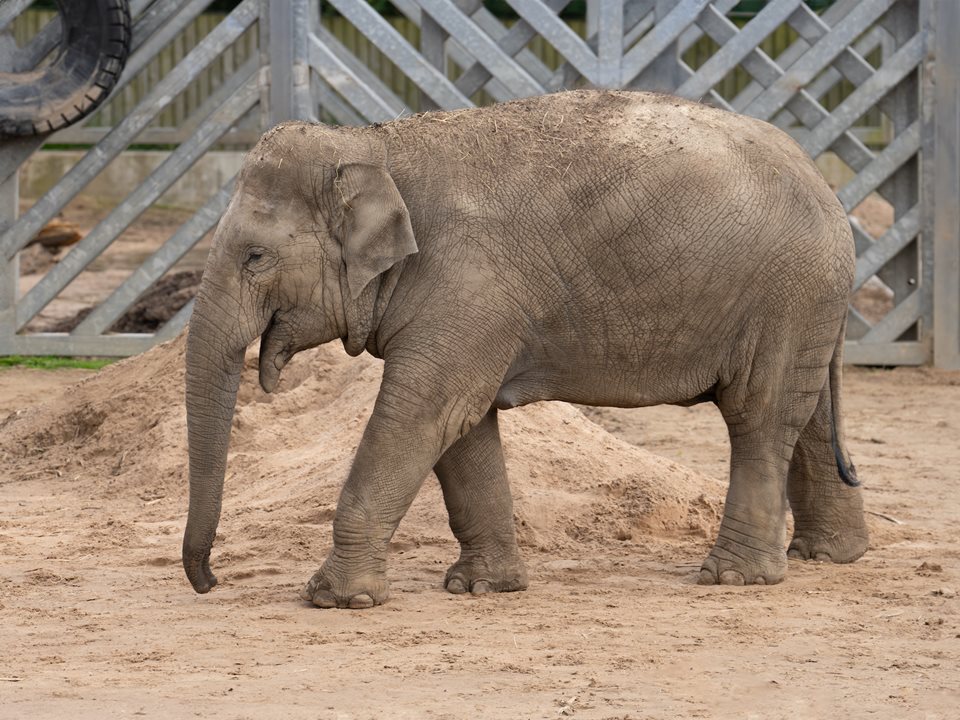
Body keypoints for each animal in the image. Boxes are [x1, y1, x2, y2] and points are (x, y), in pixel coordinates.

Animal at [182, 88, 872, 608]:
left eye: (254, 256)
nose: (210, 582)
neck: (373, 143)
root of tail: (825, 184)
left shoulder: (466, 281)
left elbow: (425, 412)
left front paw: (334, 600)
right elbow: (461, 426)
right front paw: (482, 588)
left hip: (786, 291)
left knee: (760, 416)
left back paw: (733, 577)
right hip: (806, 305)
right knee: (808, 416)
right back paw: (828, 556)